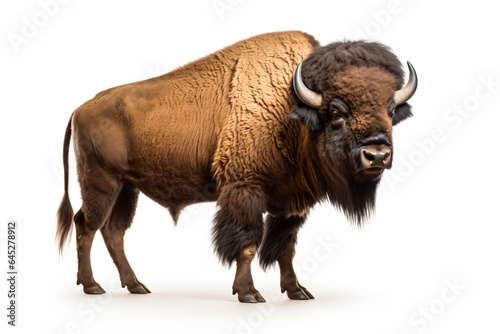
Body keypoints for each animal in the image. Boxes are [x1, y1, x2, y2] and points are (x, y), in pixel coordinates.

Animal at [56, 30, 418, 302]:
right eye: (337, 112)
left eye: (390, 110)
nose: (376, 155)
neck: (290, 108)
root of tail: (80, 108)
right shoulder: (246, 189)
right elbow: (248, 244)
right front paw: (249, 294)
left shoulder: (292, 202)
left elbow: (285, 247)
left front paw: (297, 291)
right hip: (102, 182)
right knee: (87, 224)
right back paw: (92, 286)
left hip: (127, 187)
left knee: (113, 231)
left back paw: (136, 286)